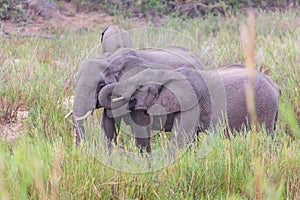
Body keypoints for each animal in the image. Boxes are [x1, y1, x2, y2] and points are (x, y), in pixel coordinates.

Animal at [99, 65, 282, 152]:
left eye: (140, 87)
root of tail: (275, 85)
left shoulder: (192, 103)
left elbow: (180, 138)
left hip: (264, 104)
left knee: (265, 134)